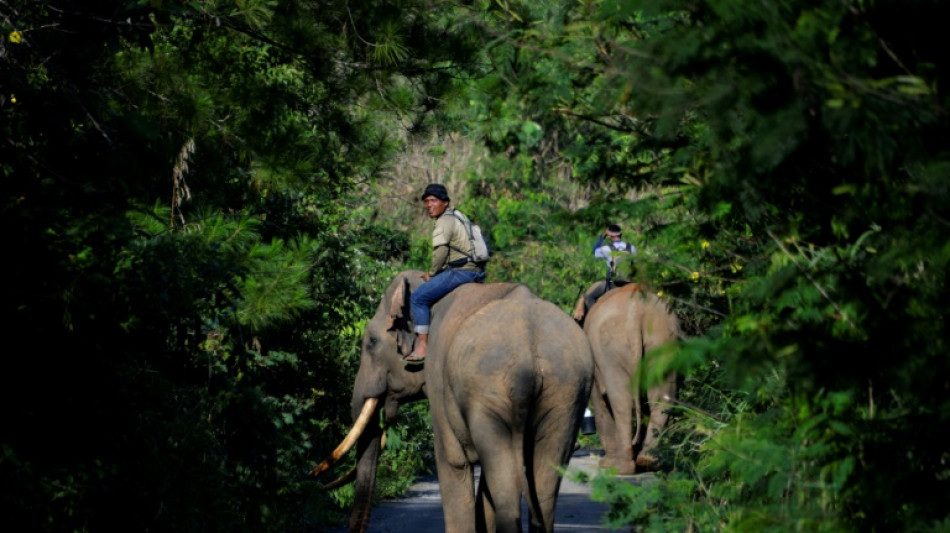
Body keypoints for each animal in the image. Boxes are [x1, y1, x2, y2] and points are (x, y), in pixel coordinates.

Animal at [312, 270, 596, 532]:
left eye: (371, 342)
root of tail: (529, 346)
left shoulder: (437, 378)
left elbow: (453, 460)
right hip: (567, 392)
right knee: (545, 480)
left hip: (489, 393)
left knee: (506, 479)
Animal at [572, 282, 684, 474]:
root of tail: (636, 315)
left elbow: (599, 400)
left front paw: (606, 464)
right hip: (663, 342)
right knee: (662, 397)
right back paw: (648, 461)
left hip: (611, 349)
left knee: (620, 401)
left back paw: (620, 468)